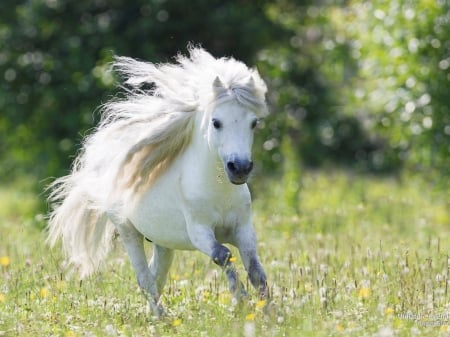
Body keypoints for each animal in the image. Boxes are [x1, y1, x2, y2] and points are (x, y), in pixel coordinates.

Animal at [48, 46, 268, 316]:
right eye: (216, 122)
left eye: (254, 123)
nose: (240, 168)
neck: (219, 192)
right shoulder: (199, 232)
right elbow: (223, 255)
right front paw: (242, 300)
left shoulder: (243, 229)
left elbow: (256, 270)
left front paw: (268, 310)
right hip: (129, 232)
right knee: (144, 278)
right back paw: (161, 316)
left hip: (163, 242)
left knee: (156, 275)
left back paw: (153, 315)